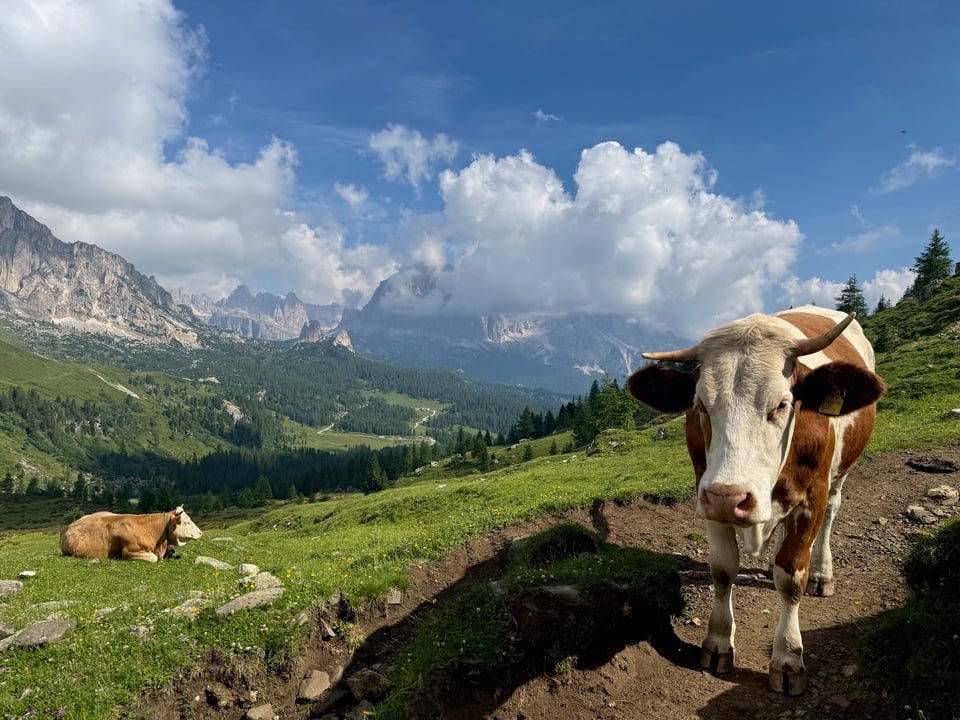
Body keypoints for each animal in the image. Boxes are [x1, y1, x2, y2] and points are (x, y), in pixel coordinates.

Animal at [627, 306, 886, 695]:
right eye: (700, 405)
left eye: (782, 403)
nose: (730, 498)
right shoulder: (707, 491)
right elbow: (722, 570)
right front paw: (718, 643)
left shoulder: (811, 498)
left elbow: (791, 578)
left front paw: (788, 657)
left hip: (838, 476)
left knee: (831, 515)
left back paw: (821, 573)